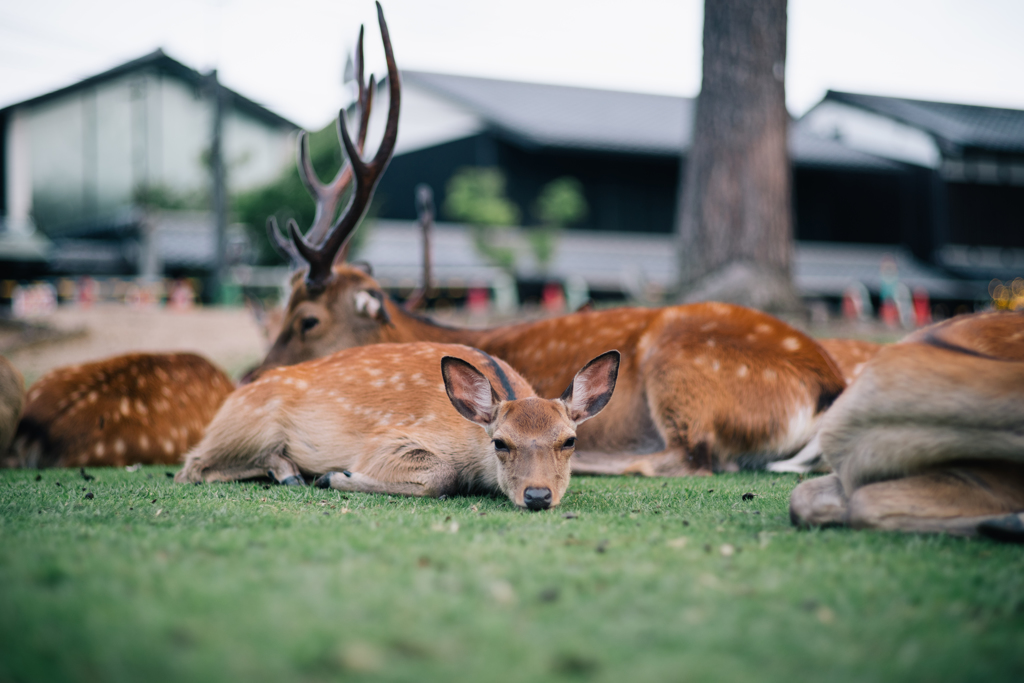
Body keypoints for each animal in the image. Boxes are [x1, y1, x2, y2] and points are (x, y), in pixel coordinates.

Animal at [178, 344, 614, 509]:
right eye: (501, 443)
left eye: (569, 441)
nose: (537, 495)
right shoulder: (385, 439)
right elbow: (441, 475)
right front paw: (334, 476)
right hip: (247, 426)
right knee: (191, 468)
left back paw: (287, 471)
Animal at [247, 1, 847, 481]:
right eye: (277, 311)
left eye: (308, 320)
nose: (251, 377)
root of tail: (830, 386)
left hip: (682, 365)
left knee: (695, 456)